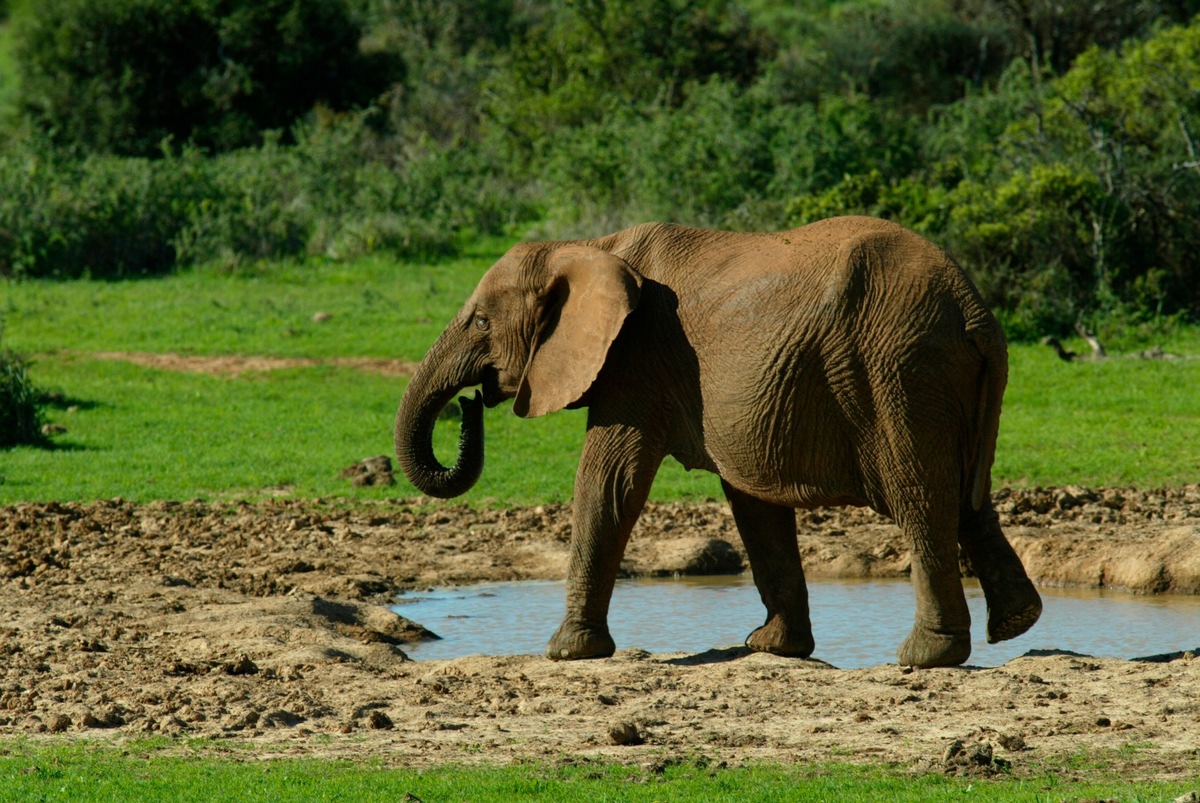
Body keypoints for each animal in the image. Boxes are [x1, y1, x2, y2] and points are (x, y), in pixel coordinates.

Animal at [393, 216, 1041, 667]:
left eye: (480, 322)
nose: (470, 402)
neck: (589, 246)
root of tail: (973, 308)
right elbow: (752, 501)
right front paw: (770, 647)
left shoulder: (636, 360)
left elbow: (609, 482)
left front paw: (566, 652)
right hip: (935, 379)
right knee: (967, 497)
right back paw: (1018, 624)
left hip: (899, 372)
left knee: (920, 499)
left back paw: (924, 657)